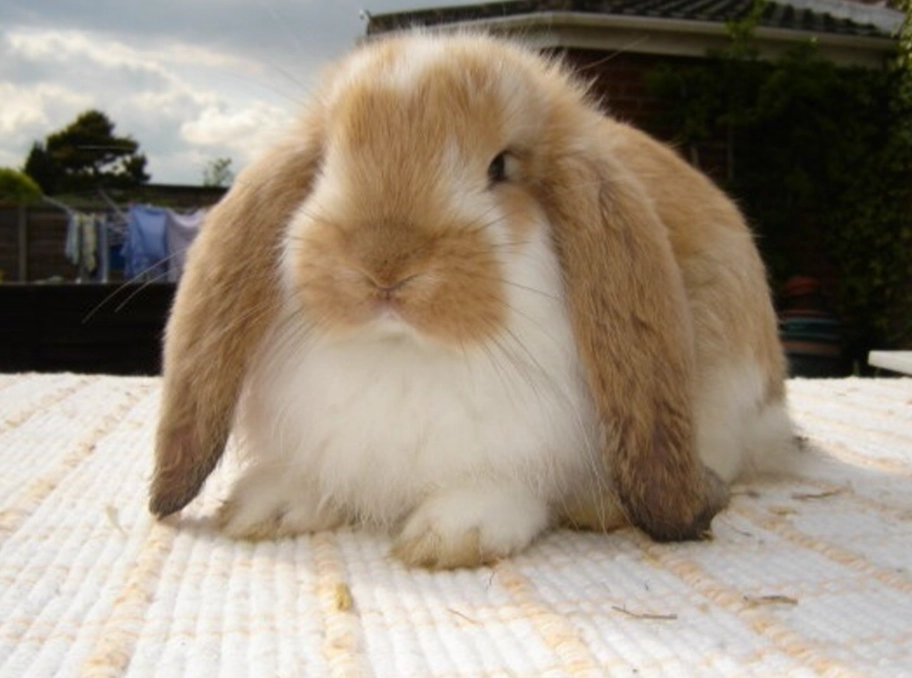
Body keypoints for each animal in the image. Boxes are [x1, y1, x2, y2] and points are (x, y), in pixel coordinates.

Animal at [149, 30, 794, 569]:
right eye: (326, 162)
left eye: (501, 166)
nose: (384, 263)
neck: (402, 351)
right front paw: (267, 506)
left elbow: (497, 490)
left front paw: (450, 535)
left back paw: (600, 505)